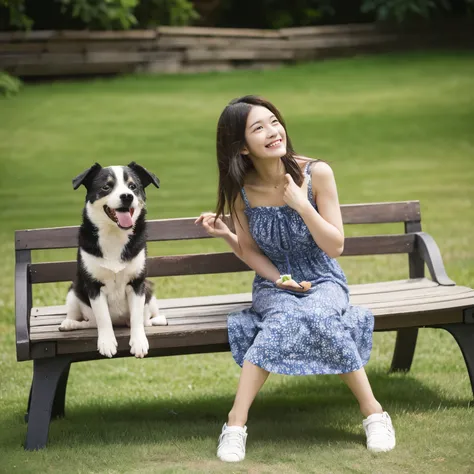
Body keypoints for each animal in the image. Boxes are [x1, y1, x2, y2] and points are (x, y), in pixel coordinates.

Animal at [59, 164, 168, 360]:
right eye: (106, 187)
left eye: (132, 186)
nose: (127, 196)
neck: (114, 234)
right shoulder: (94, 285)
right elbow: (103, 318)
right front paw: (107, 343)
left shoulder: (137, 283)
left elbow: (137, 318)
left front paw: (139, 342)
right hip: (74, 291)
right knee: (89, 322)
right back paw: (70, 324)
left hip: (149, 291)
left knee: (147, 319)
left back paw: (158, 319)